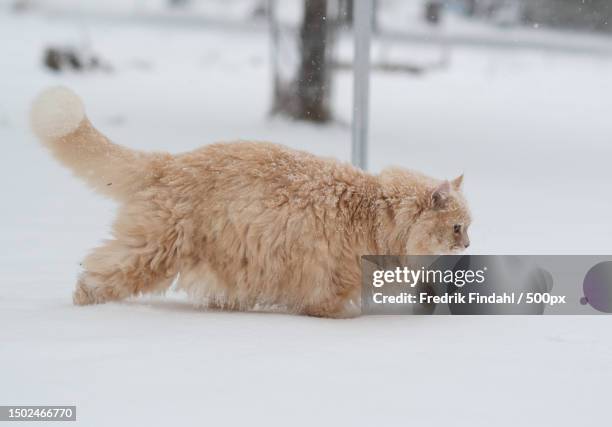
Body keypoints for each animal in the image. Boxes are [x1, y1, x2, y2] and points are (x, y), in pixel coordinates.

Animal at [29, 87, 474, 318]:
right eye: (457, 227)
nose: (469, 245)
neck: (373, 211)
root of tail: (172, 160)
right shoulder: (331, 280)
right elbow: (333, 306)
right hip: (153, 252)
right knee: (97, 274)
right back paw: (86, 305)